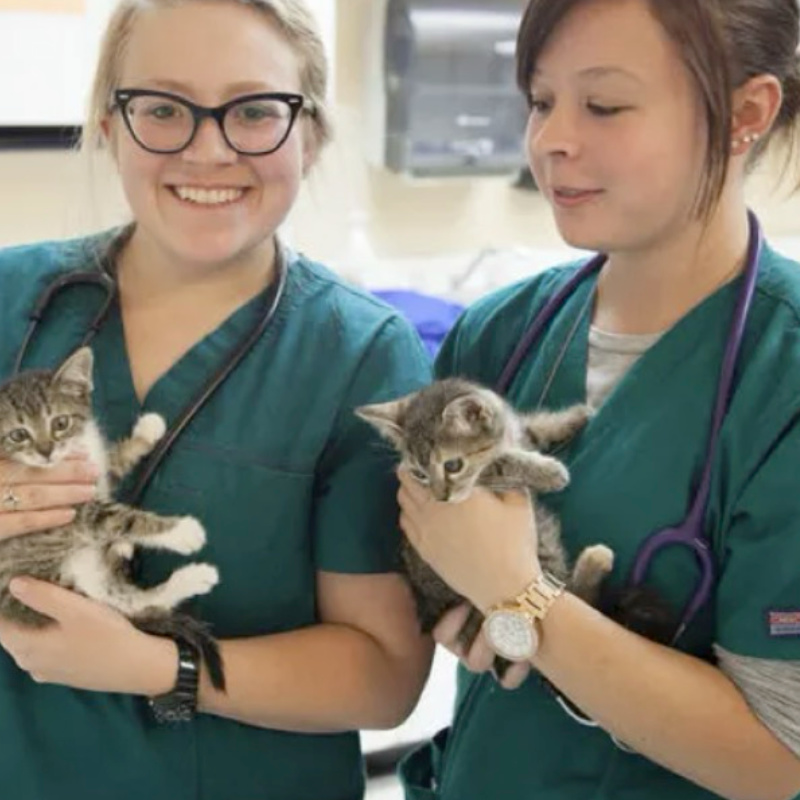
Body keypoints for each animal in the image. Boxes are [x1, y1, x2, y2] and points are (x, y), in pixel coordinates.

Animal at [0, 346, 227, 692]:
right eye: (18, 435)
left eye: (60, 423)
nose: (46, 452)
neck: (71, 454)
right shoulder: (73, 513)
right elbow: (117, 518)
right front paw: (180, 532)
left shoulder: (98, 472)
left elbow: (113, 464)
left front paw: (146, 432)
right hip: (68, 586)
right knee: (130, 606)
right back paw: (191, 573)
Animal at [356, 378, 612, 664]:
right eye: (419, 474)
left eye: (452, 465)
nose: (441, 497)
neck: (504, 437)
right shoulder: (487, 478)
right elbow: (501, 461)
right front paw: (549, 471)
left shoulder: (516, 431)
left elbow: (533, 428)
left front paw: (572, 417)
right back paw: (595, 562)